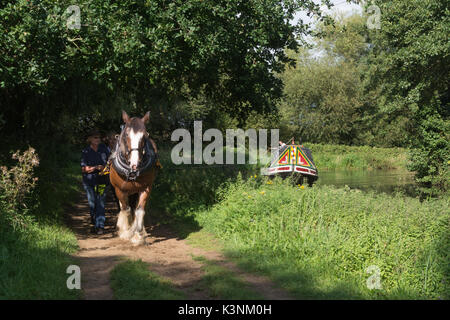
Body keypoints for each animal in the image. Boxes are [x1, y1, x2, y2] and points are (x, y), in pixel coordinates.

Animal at [108, 110, 158, 245]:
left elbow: (139, 210)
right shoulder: (120, 190)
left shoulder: (145, 188)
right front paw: (126, 232)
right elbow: (126, 209)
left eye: (145, 136)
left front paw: (138, 236)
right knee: (124, 207)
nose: (135, 164)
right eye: (126, 135)